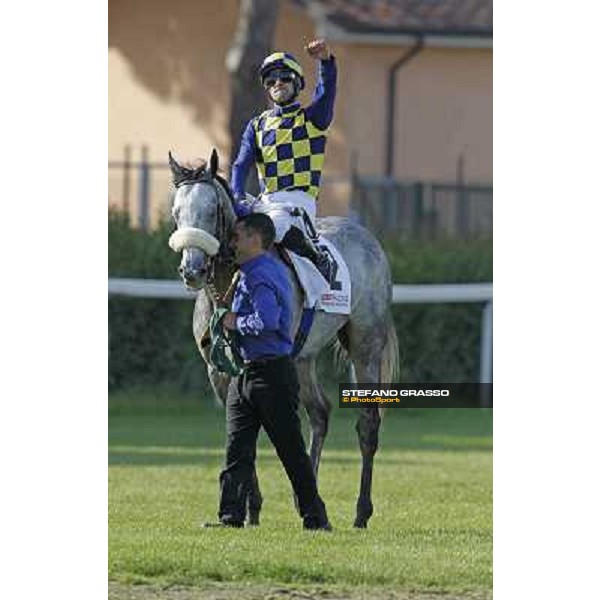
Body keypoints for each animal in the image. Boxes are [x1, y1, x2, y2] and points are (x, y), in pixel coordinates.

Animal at [166, 151, 398, 528]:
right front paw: (250, 509)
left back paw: (360, 513)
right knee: (320, 413)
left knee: (367, 423)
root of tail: (366, 236)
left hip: (366, 345)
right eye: (176, 212)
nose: (192, 270)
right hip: (303, 359)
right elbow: (240, 430)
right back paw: (310, 496)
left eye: (212, 210)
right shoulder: (219, 372)